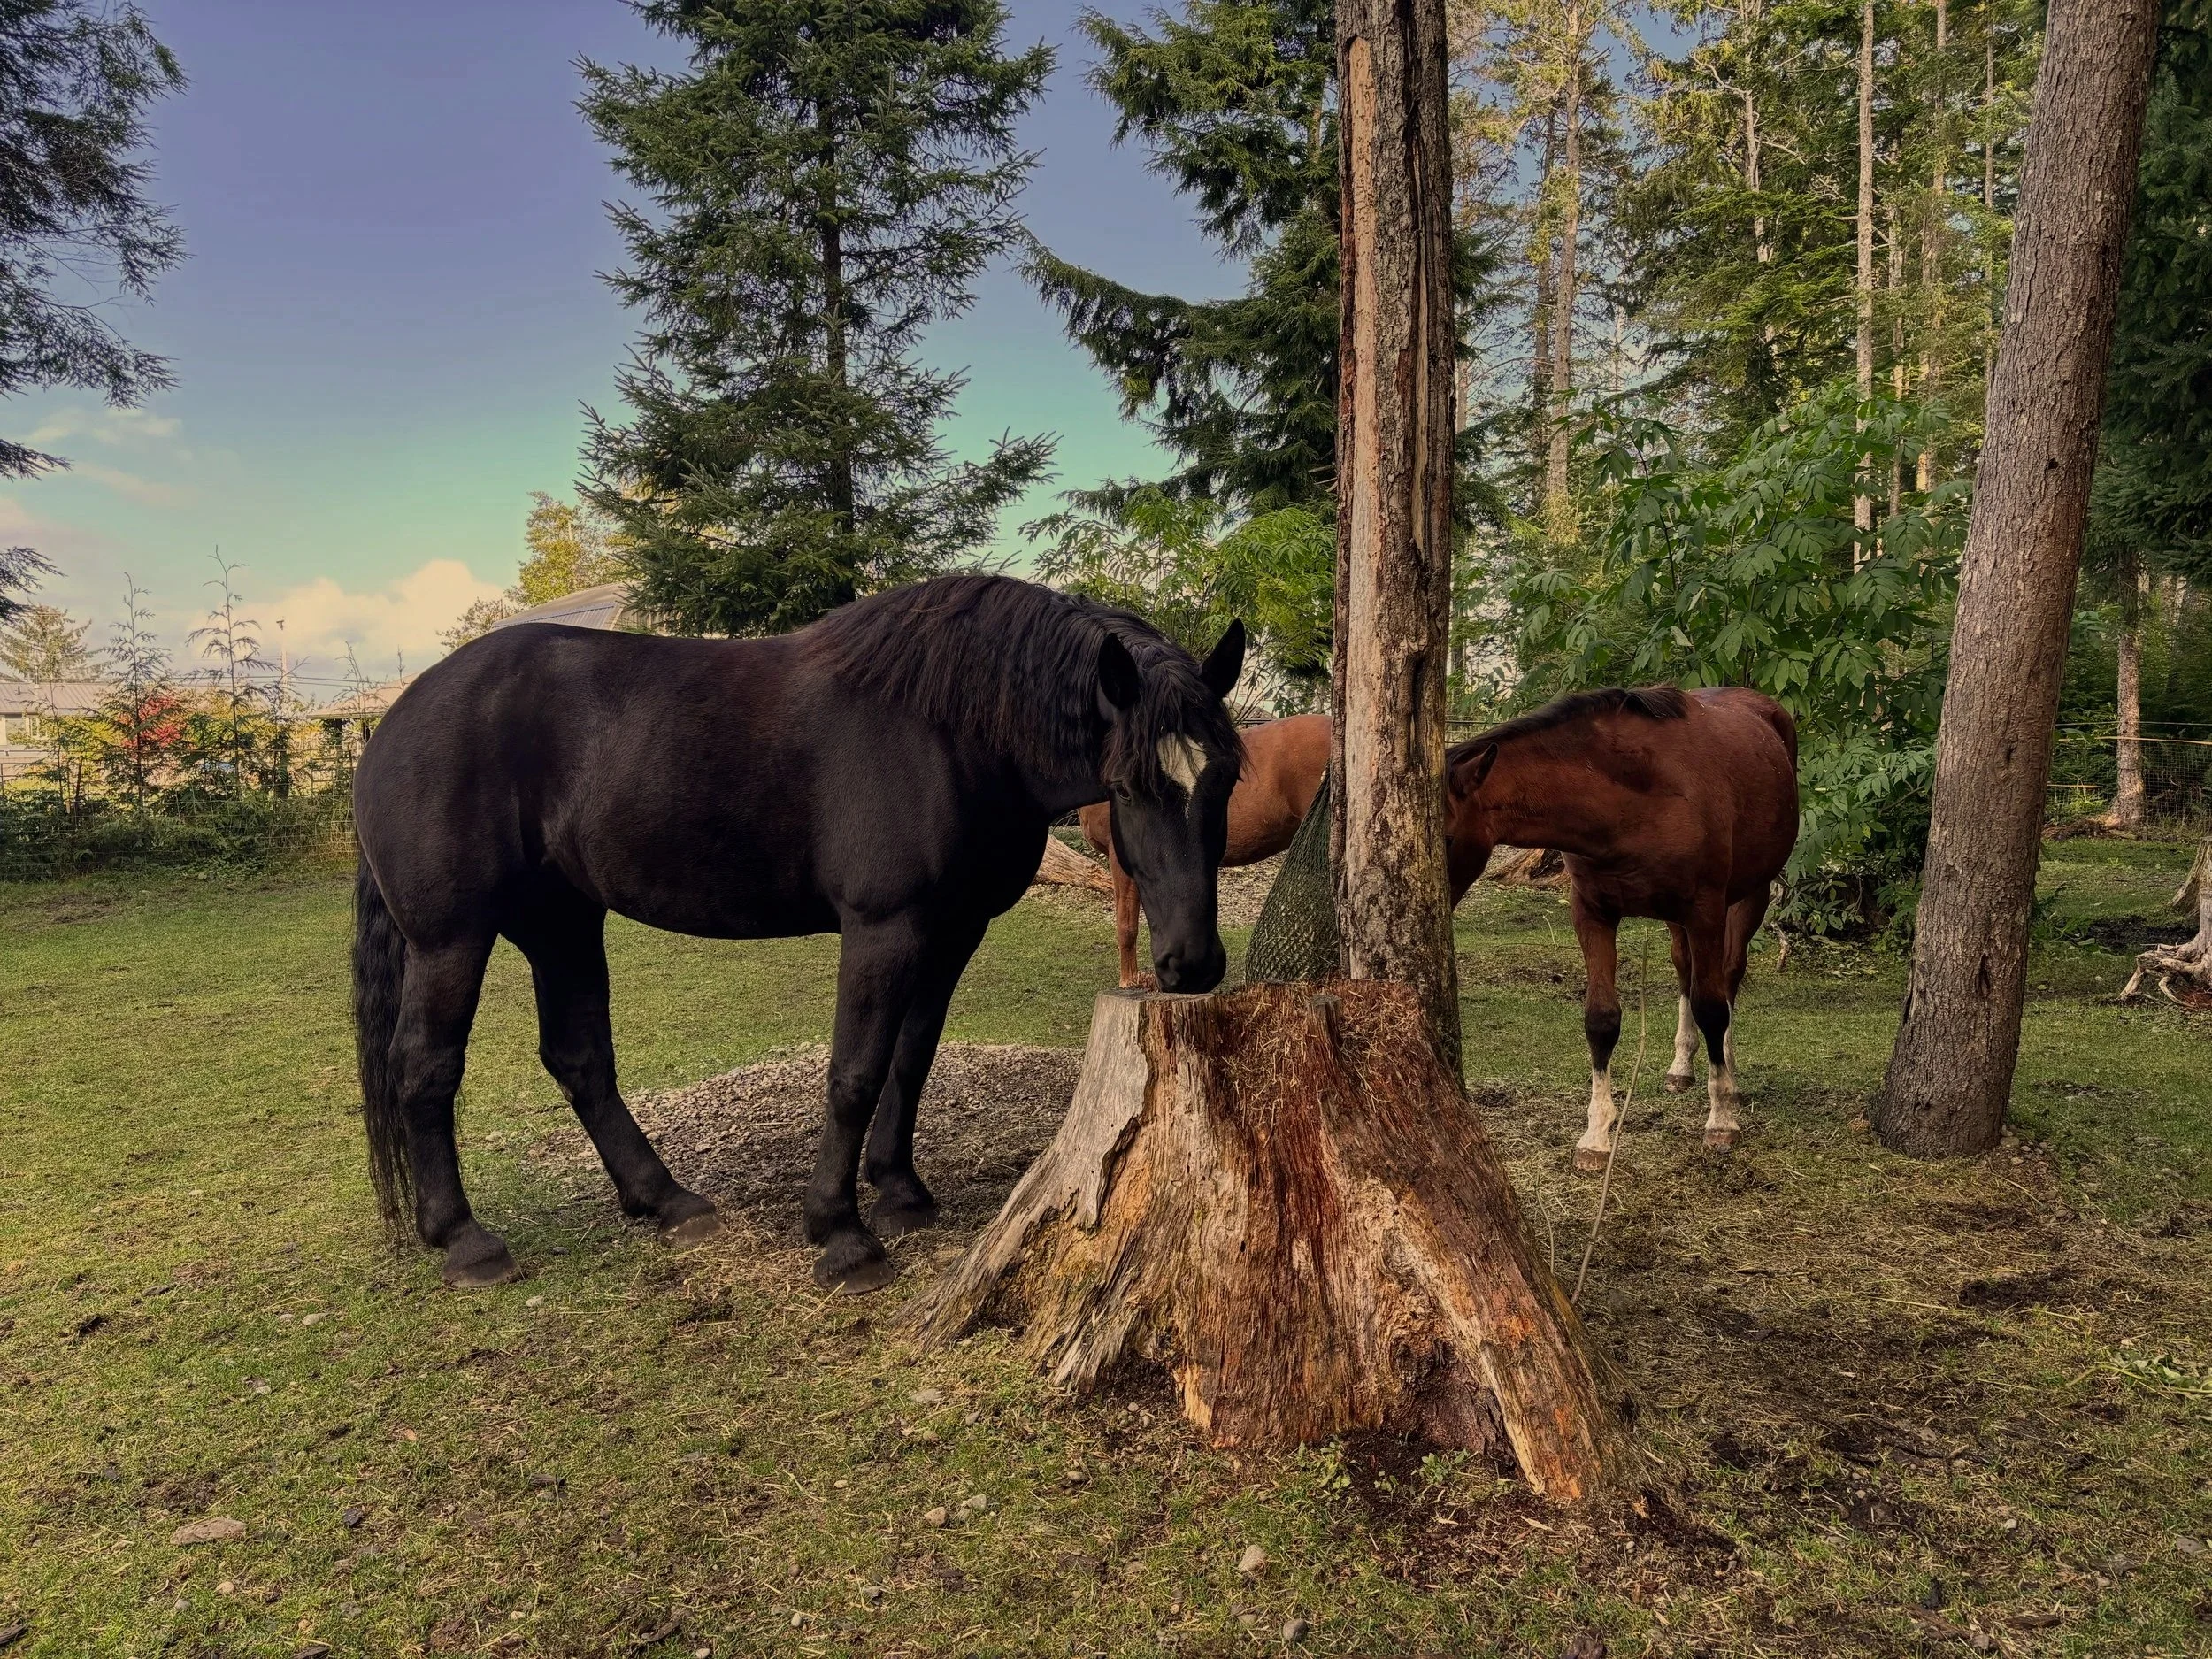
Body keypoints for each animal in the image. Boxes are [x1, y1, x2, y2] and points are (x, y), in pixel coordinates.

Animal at [352, 574, 1247, 1293]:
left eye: (1227, 777)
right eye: (1128, 785)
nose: (1193, 964)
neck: (949, 731)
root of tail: (393, 721)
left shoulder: (953, 929)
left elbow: (911, 1058)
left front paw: (899, 1190)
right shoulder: (883, 928)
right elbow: (854, 1072)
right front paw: (841, 1234)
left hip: (560, 923)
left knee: (580, 1060)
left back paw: (667, 1200)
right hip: (452, 940)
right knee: (425, 1066)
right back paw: (466, 1241)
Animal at [1444, 686, 1798, 1170]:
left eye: (1443, 836)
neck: (1630, 802)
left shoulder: (1705, 911)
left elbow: (1712, 1007)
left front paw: (1721, 1119)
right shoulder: (1592, 914)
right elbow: (1601, 1019)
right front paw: (1595, 1136)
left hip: (1750, 893)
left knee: (1727, 978)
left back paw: (1726, 1071)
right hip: (1676, 919)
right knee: (1685, 969)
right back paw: (1682, 1066)